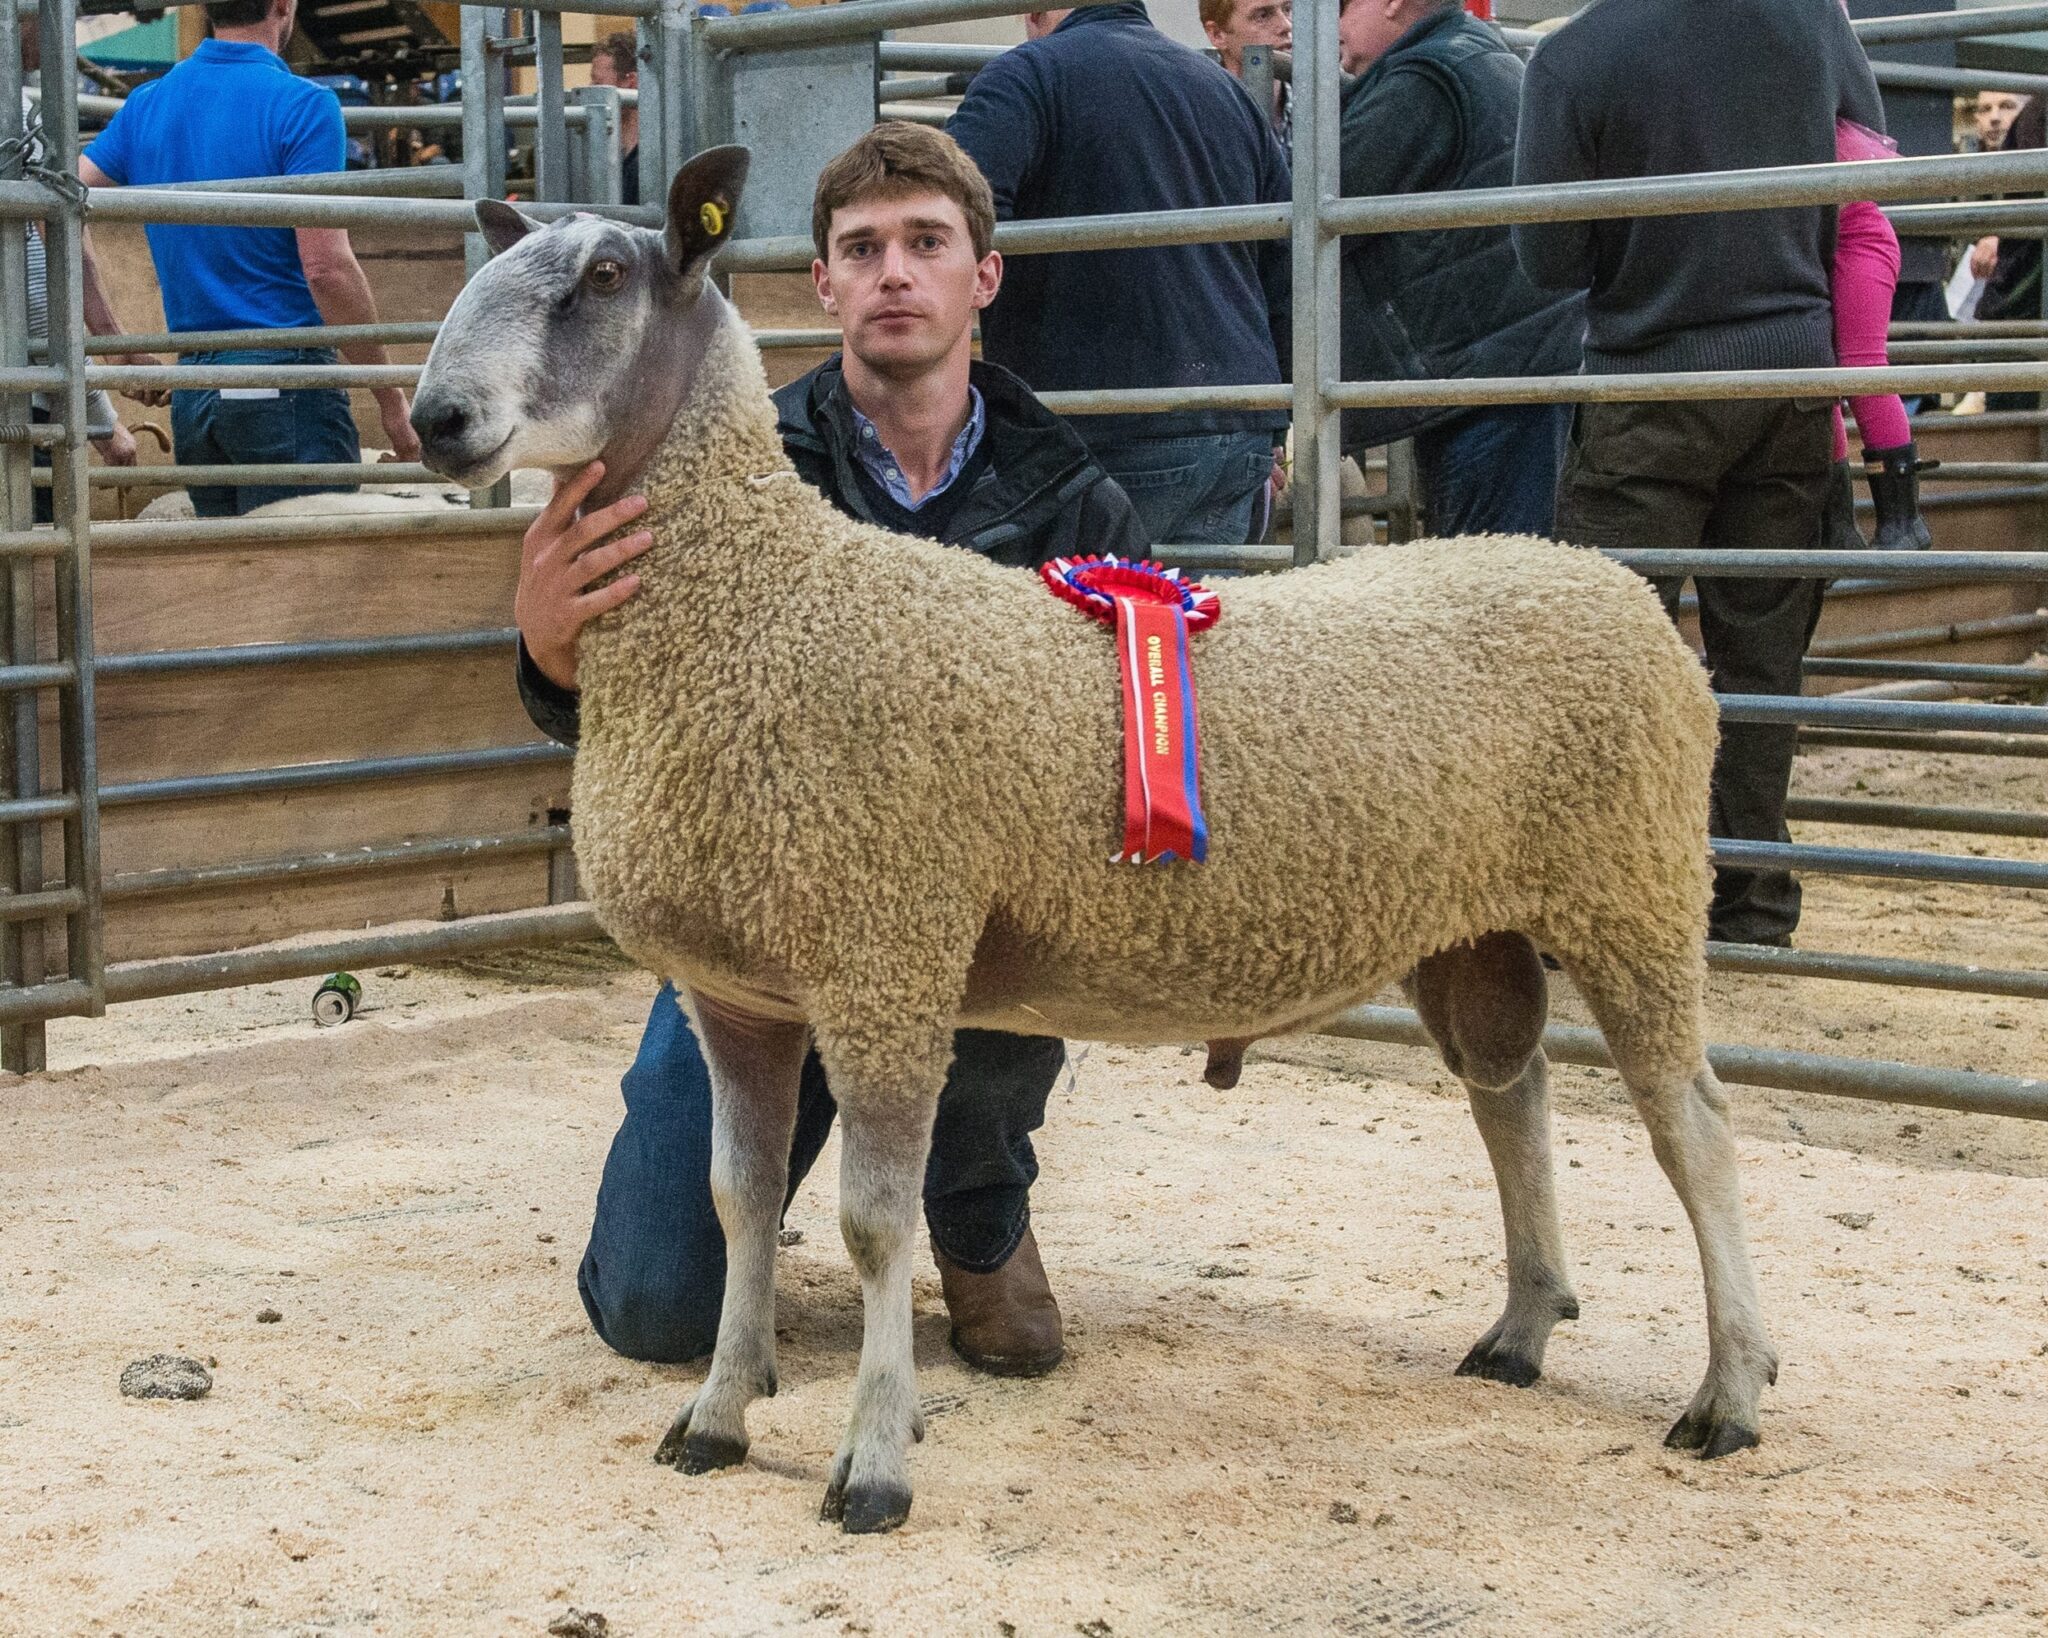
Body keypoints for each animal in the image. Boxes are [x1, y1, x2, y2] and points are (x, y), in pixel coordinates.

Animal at [403, 150, 1777, 1539]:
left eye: (602, 278)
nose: (436, 420)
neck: (760, 599)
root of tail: (1608, 582)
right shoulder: (738, 993)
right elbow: (734, 1205)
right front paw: (719, 1416)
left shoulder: (884, 957)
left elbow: (872, 1225)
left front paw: (873, 1465)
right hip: (1479, 922)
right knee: (1512, 1094)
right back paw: (1519, 1330)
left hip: (1635, 885)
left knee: (1693, 1128)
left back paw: (1725, 1393)